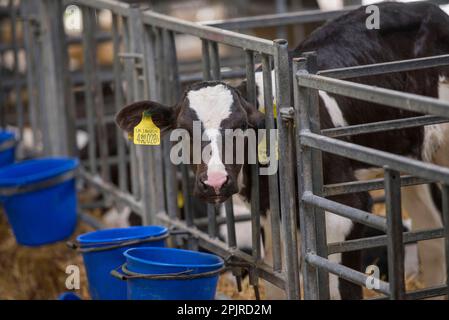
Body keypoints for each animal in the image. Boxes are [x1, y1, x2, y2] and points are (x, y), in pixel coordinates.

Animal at [115, 1, 448, 298]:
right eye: (183, 130)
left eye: (241, 126)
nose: (215, 182)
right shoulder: (269, 220)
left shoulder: (344, 209)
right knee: (430, 233)